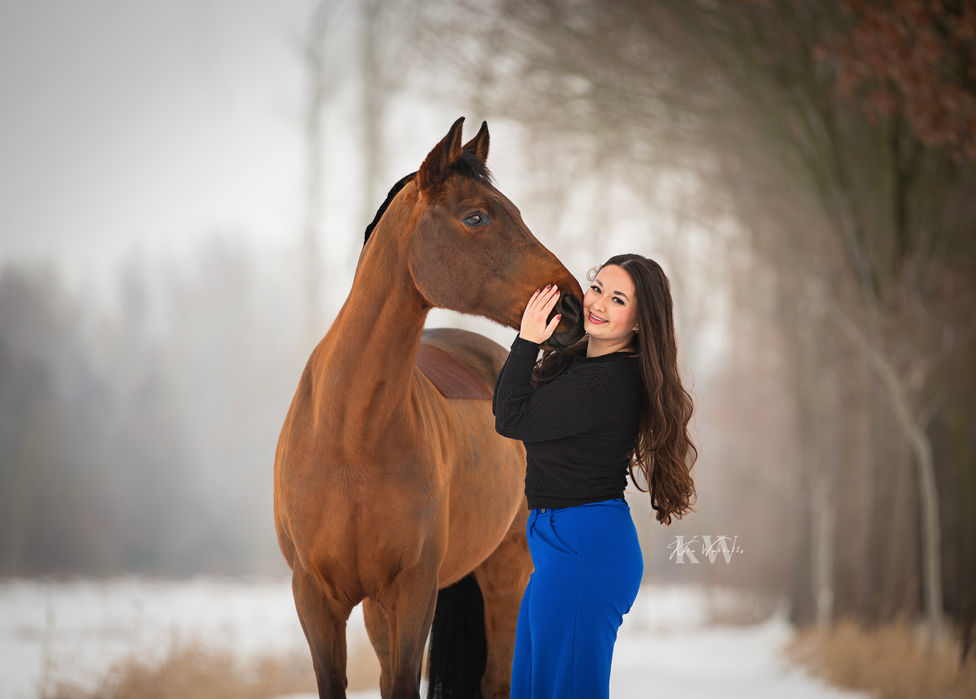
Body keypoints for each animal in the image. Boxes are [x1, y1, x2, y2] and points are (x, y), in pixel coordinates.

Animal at [274, 117, 584, 698]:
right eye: (476, 216)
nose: (574, 308)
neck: (349, 434)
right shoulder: (316, 598)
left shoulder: (413, 591)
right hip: (377, 607)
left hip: (506, 575)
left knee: (495, 679)